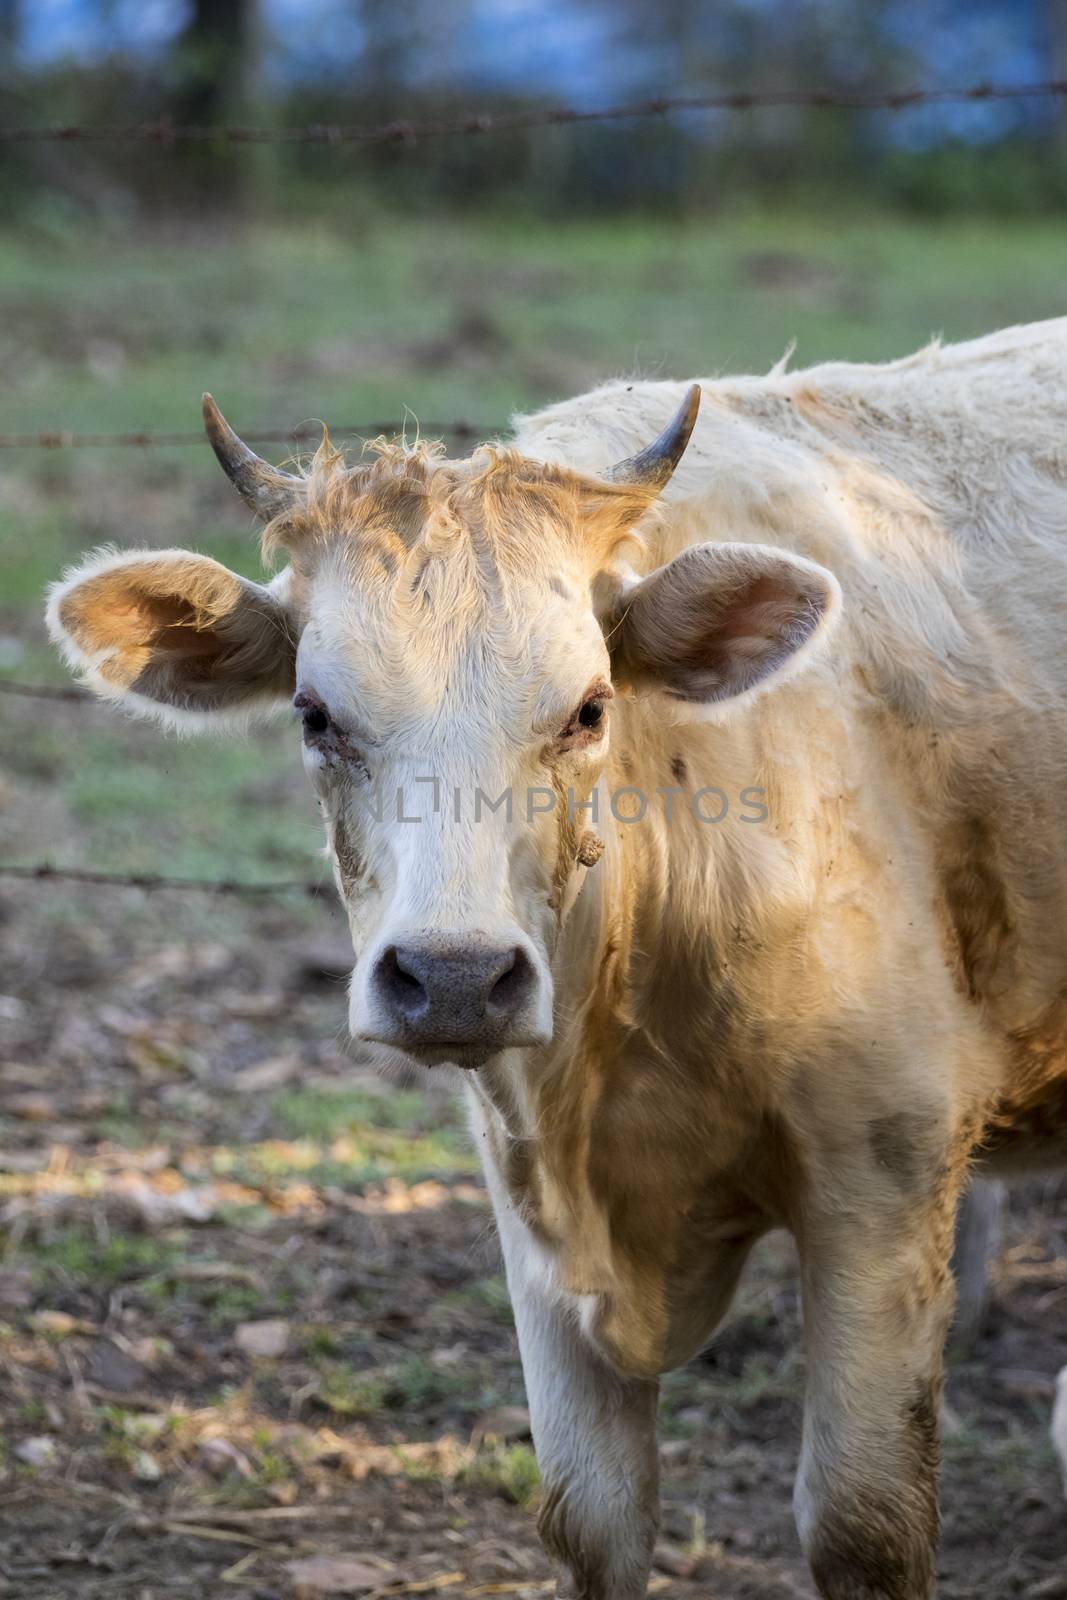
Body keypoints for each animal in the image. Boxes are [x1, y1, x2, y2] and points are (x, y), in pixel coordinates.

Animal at [45, 315, 1067, 1600]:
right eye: (314, 714)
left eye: (587, 706)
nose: (452, 976)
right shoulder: (527, 1215)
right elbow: (594, 1517)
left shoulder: (883, 1173)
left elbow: (863, 1521)